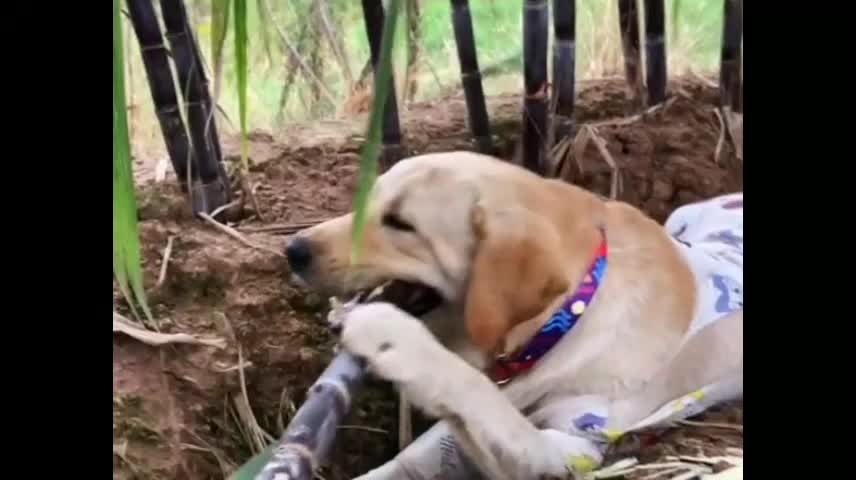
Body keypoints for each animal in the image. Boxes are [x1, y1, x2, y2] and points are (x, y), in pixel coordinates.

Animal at [284, 152, 740, 478]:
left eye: (400, 222)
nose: (293, 249)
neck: (567, 317)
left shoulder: (573, 446)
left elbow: (481, 397)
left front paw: (396, 339)